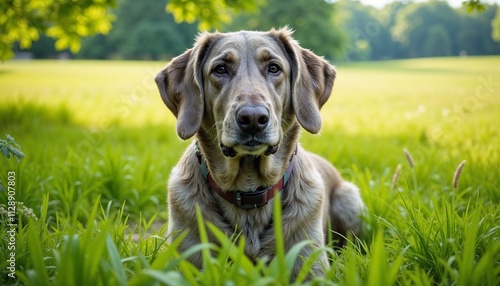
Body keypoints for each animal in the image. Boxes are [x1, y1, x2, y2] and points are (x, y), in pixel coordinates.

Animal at [154, 27, 366, 278]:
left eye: (274, 68)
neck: (248, 191)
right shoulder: (185, 260)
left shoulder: (310, 264)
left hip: (349, 199)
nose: (253, 118)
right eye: (220, 69)